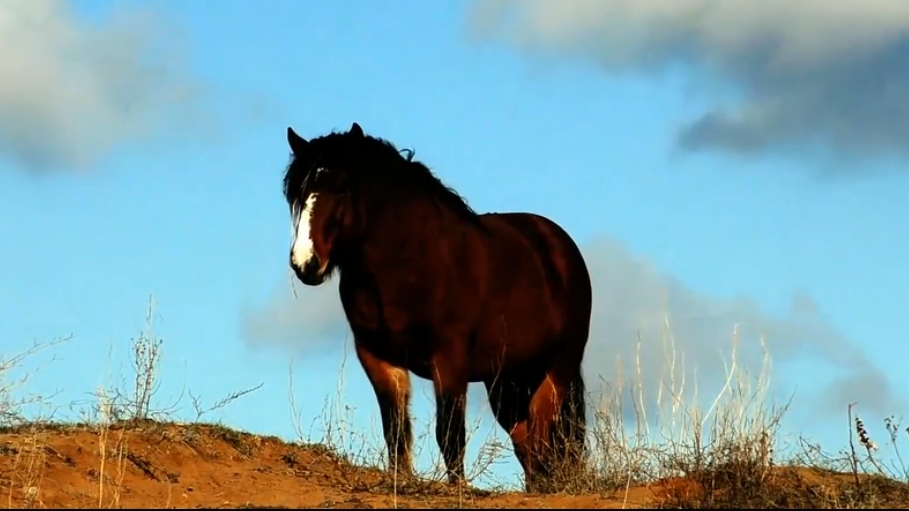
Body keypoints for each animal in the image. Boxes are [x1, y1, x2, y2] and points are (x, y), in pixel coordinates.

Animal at [284, 122, 596, 494]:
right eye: (296, 195)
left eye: (342, 189)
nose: (305, 263)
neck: (409, 264)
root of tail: (557, 245)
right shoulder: (378, 358)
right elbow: (396, 432)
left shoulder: (449, 361)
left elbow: (449, 435)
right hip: (507, 382)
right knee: (529, 445)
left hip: (556, 370)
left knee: (542, 437)